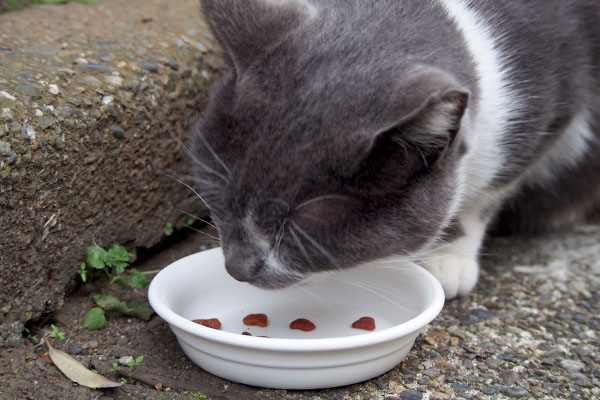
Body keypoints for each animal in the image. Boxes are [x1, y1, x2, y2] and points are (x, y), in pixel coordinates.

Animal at [192, 0, 600, 298]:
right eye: (218, 193)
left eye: (299, 227)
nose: (237, 267)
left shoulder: (550, 114)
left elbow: (486, 194)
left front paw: (450, 258)